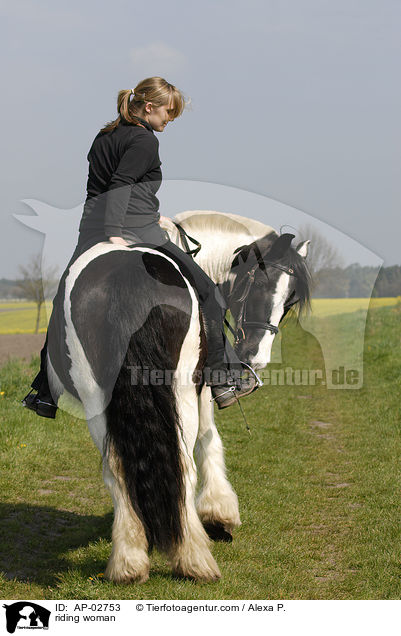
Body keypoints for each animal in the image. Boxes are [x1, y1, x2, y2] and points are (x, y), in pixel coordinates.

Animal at [46, 211, 310, 584]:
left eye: (289, 302)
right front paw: (219, 513)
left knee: (116, 469)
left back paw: (129, 562)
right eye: (260, 286)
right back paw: (194, 559)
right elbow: (209, 438)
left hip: (96, 395)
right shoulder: (203, 385)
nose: (255, 357)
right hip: (181, 389)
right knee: (184, 463)